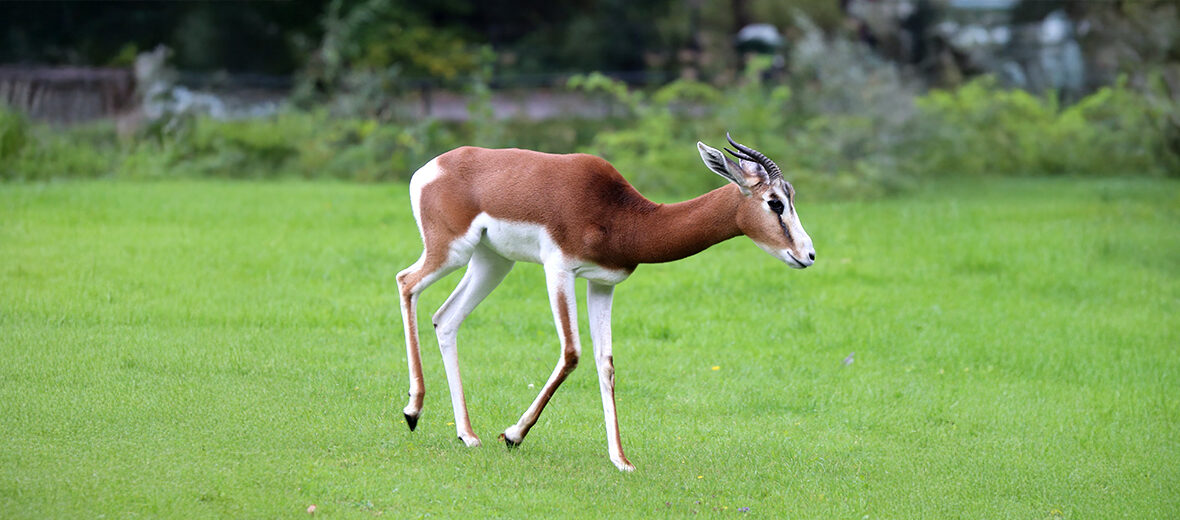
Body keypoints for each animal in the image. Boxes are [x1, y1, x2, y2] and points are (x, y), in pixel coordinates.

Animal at [395, 134, 815, 471]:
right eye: (775, 203)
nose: (808, 255)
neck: (621, 216)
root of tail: (432, 167)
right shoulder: (558, 270)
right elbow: (572, 352)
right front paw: (514, 435)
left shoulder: (601, 284)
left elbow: (606, 363)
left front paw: (621, 460)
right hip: (451, 251)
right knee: (406, 283)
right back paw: (413, 411)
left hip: (492, 262)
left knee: (446, 318)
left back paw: (467, 435)